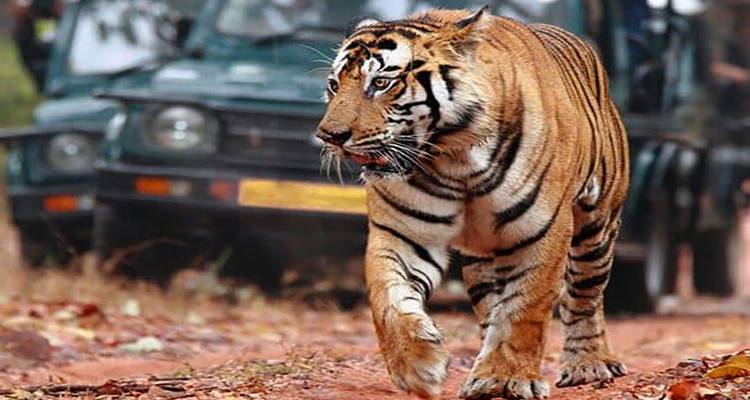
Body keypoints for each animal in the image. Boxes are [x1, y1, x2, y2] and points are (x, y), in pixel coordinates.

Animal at [316, 6, 630, 400]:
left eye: (382, 83)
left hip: (596, 229)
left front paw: (508, 377)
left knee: (585, 297)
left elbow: (525, 307)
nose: (329, 136)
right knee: (492, 307)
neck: (453, 158)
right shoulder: (404, 234)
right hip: (484, 260)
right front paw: (418, 367)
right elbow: (388, 299)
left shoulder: (541, 232)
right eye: (334, 84)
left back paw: (588, 365)